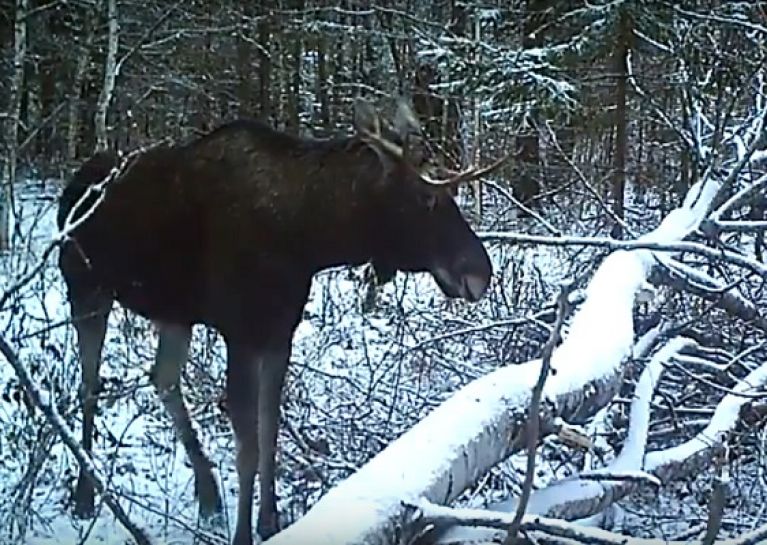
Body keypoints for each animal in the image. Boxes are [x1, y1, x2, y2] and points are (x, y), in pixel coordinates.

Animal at [60, 99, 500, 544]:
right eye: (426, 196)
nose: (482, 272)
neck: (308, 239)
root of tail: (72, 185)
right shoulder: (240, 332)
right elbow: (248, 444)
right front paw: (243, 533)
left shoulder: (279, 331)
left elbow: (269, 431)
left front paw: (269, 520)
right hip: (87, 291)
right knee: (89, 385)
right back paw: (84, 495)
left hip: (174, 312)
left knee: (162, 378)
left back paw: (207, 494)